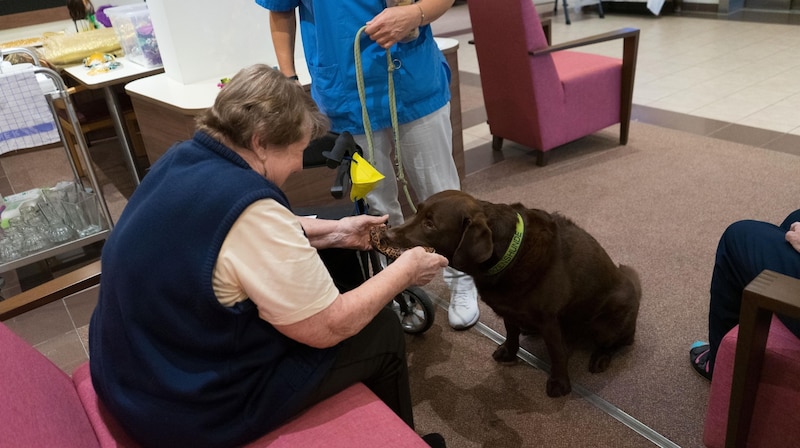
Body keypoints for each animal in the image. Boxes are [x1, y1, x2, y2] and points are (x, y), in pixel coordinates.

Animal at [378, 189, 640, 396]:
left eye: (430, 224)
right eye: (417, 211)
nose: (386, 234)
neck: (507, 254)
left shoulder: (549, 319)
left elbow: (556, 351)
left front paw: (559, 383)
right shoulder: (508, 309)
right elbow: (511, 333)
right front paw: (509, 351)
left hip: (607, 322)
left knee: (620, 341)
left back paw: (601, 357)